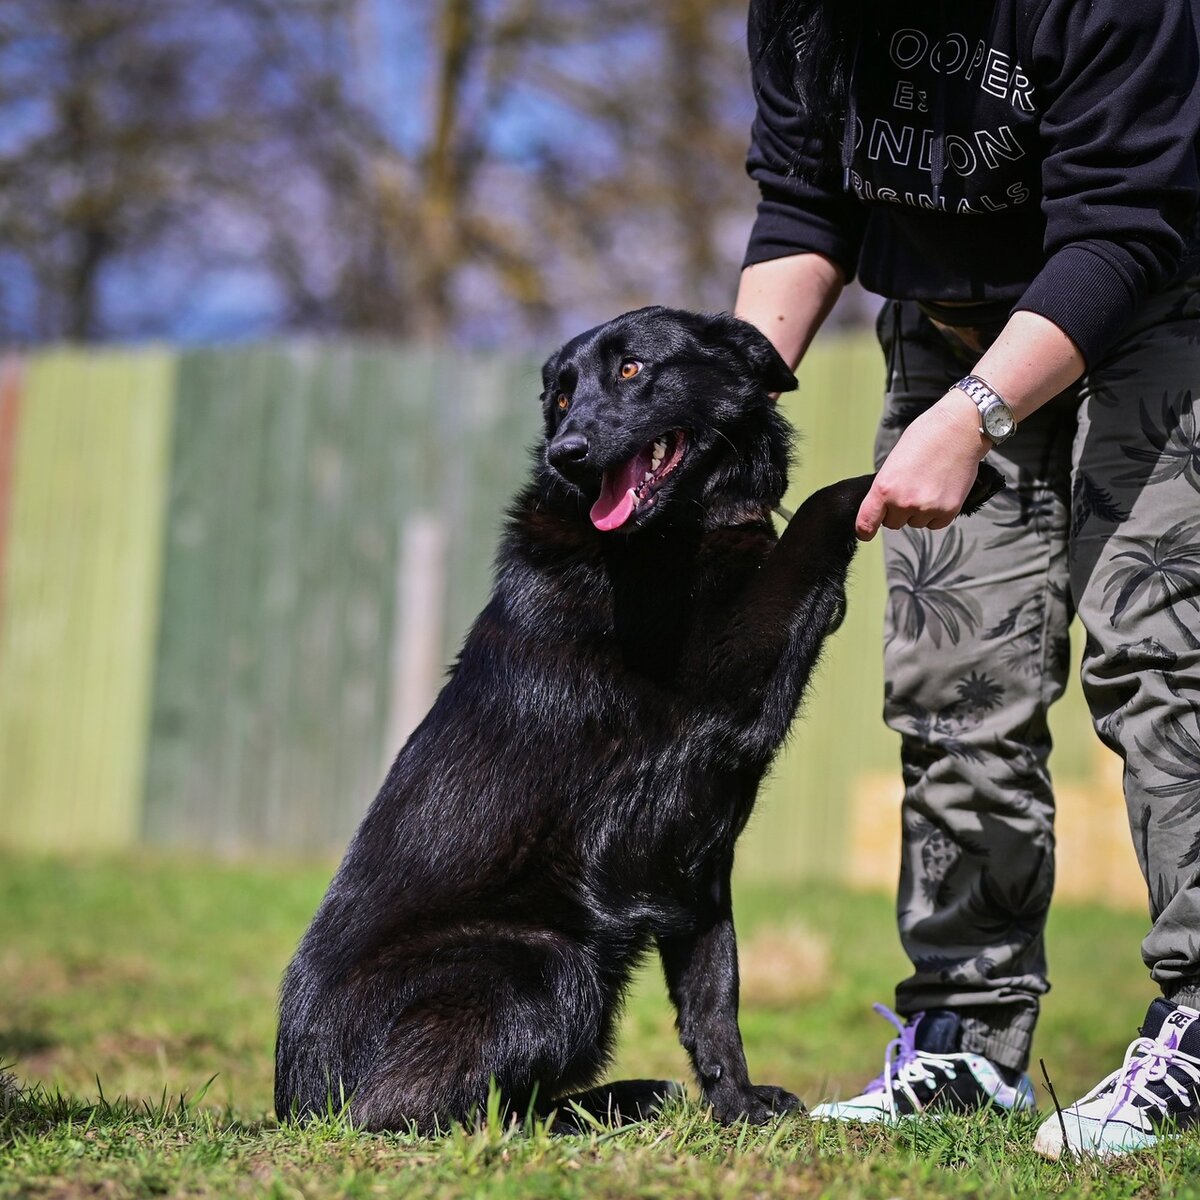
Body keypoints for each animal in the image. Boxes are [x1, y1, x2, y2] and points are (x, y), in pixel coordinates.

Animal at [274, 304, 1003, 1128]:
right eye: (561, 396)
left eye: (630, 369)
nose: (568, 454)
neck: (667, 534)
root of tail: (298, 1100)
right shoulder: (725, 688)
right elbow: (818, 514)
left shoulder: (700, 861)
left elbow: (714, 993)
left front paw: (736, 1104)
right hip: (545, 962)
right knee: (425, 1113)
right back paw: (603, 1107)